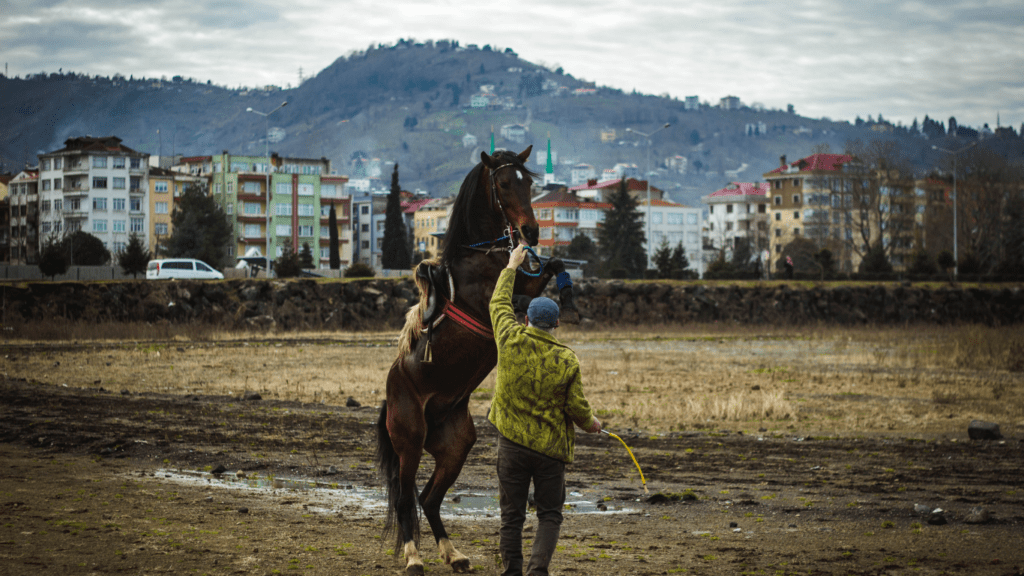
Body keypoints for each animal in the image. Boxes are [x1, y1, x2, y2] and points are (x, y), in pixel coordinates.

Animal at [378, 145, 577, 569]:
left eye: (528, 182)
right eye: (502, 183)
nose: (531, 232)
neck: (481, 257)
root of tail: (390, 394)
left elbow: (553, 265)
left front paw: (568, 295)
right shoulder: (497, 302)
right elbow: (522, 295)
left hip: (455, 447)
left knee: (429, 498)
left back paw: (453, 554)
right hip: (410, 441)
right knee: (405, 498)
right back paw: (414, 558)